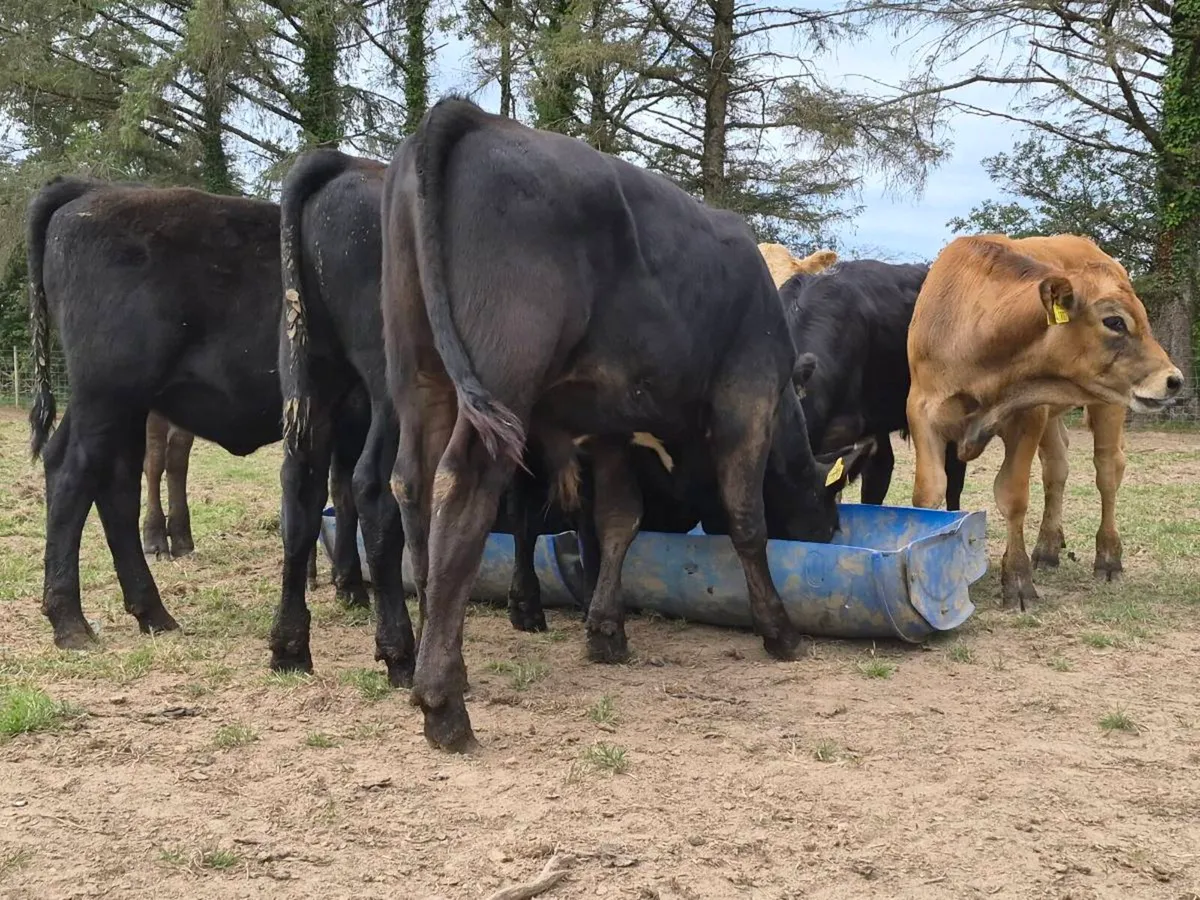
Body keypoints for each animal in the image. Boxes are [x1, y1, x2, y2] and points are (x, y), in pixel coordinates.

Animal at [25, 176, 366, 651]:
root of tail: (90, 191)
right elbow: (352, 495)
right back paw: (70, 620)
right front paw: (353, 587)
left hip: (119, 405)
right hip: (108, 395)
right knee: (74, 475)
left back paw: (152, 611)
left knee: (113, 485)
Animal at [380, 96, 868, 752]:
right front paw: (780, 631)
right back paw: (443, 703)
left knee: (413, 484)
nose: (832, 534)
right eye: (828, 503)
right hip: (502, 373)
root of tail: (474, 116)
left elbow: (618, 522)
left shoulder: (608, 428)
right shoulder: (748, 396)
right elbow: (747, 521)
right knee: (461, 491)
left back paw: (440, 660)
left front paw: (606, 630)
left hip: (420, 373)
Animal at [906, 233, 1183, 607]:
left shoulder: (1028, 417)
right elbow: (929, 492)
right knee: (1056, 469)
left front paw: (1017, 579)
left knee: (1108, 472)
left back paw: (1109, 557)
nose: (1174, 380)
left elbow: (1012, 496)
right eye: (1114, 321)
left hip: (1108, 405)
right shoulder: (922, 414)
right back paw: (1048, 547)